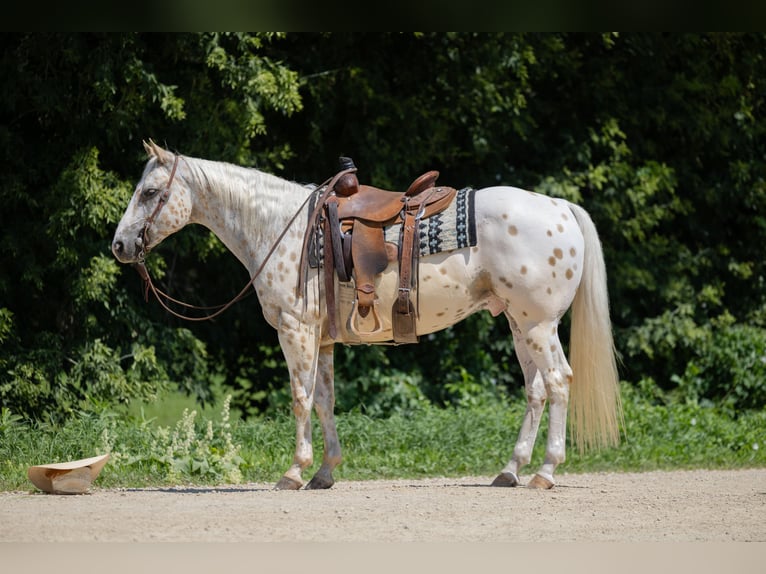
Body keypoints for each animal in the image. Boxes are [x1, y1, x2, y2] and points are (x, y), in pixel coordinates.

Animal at [112, 140, 622, 490]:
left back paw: (546, 472)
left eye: (150, 192)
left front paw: (293, 472)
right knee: (536, 391)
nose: (119, 245)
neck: (281, 228)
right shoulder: (321, 339)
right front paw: (324, 472)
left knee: (558, 383)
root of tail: (559, 207)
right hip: (520, 325)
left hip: (538, 324)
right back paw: (510, 470)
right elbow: (324, 401)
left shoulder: (295, 331)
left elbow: (299, 399)